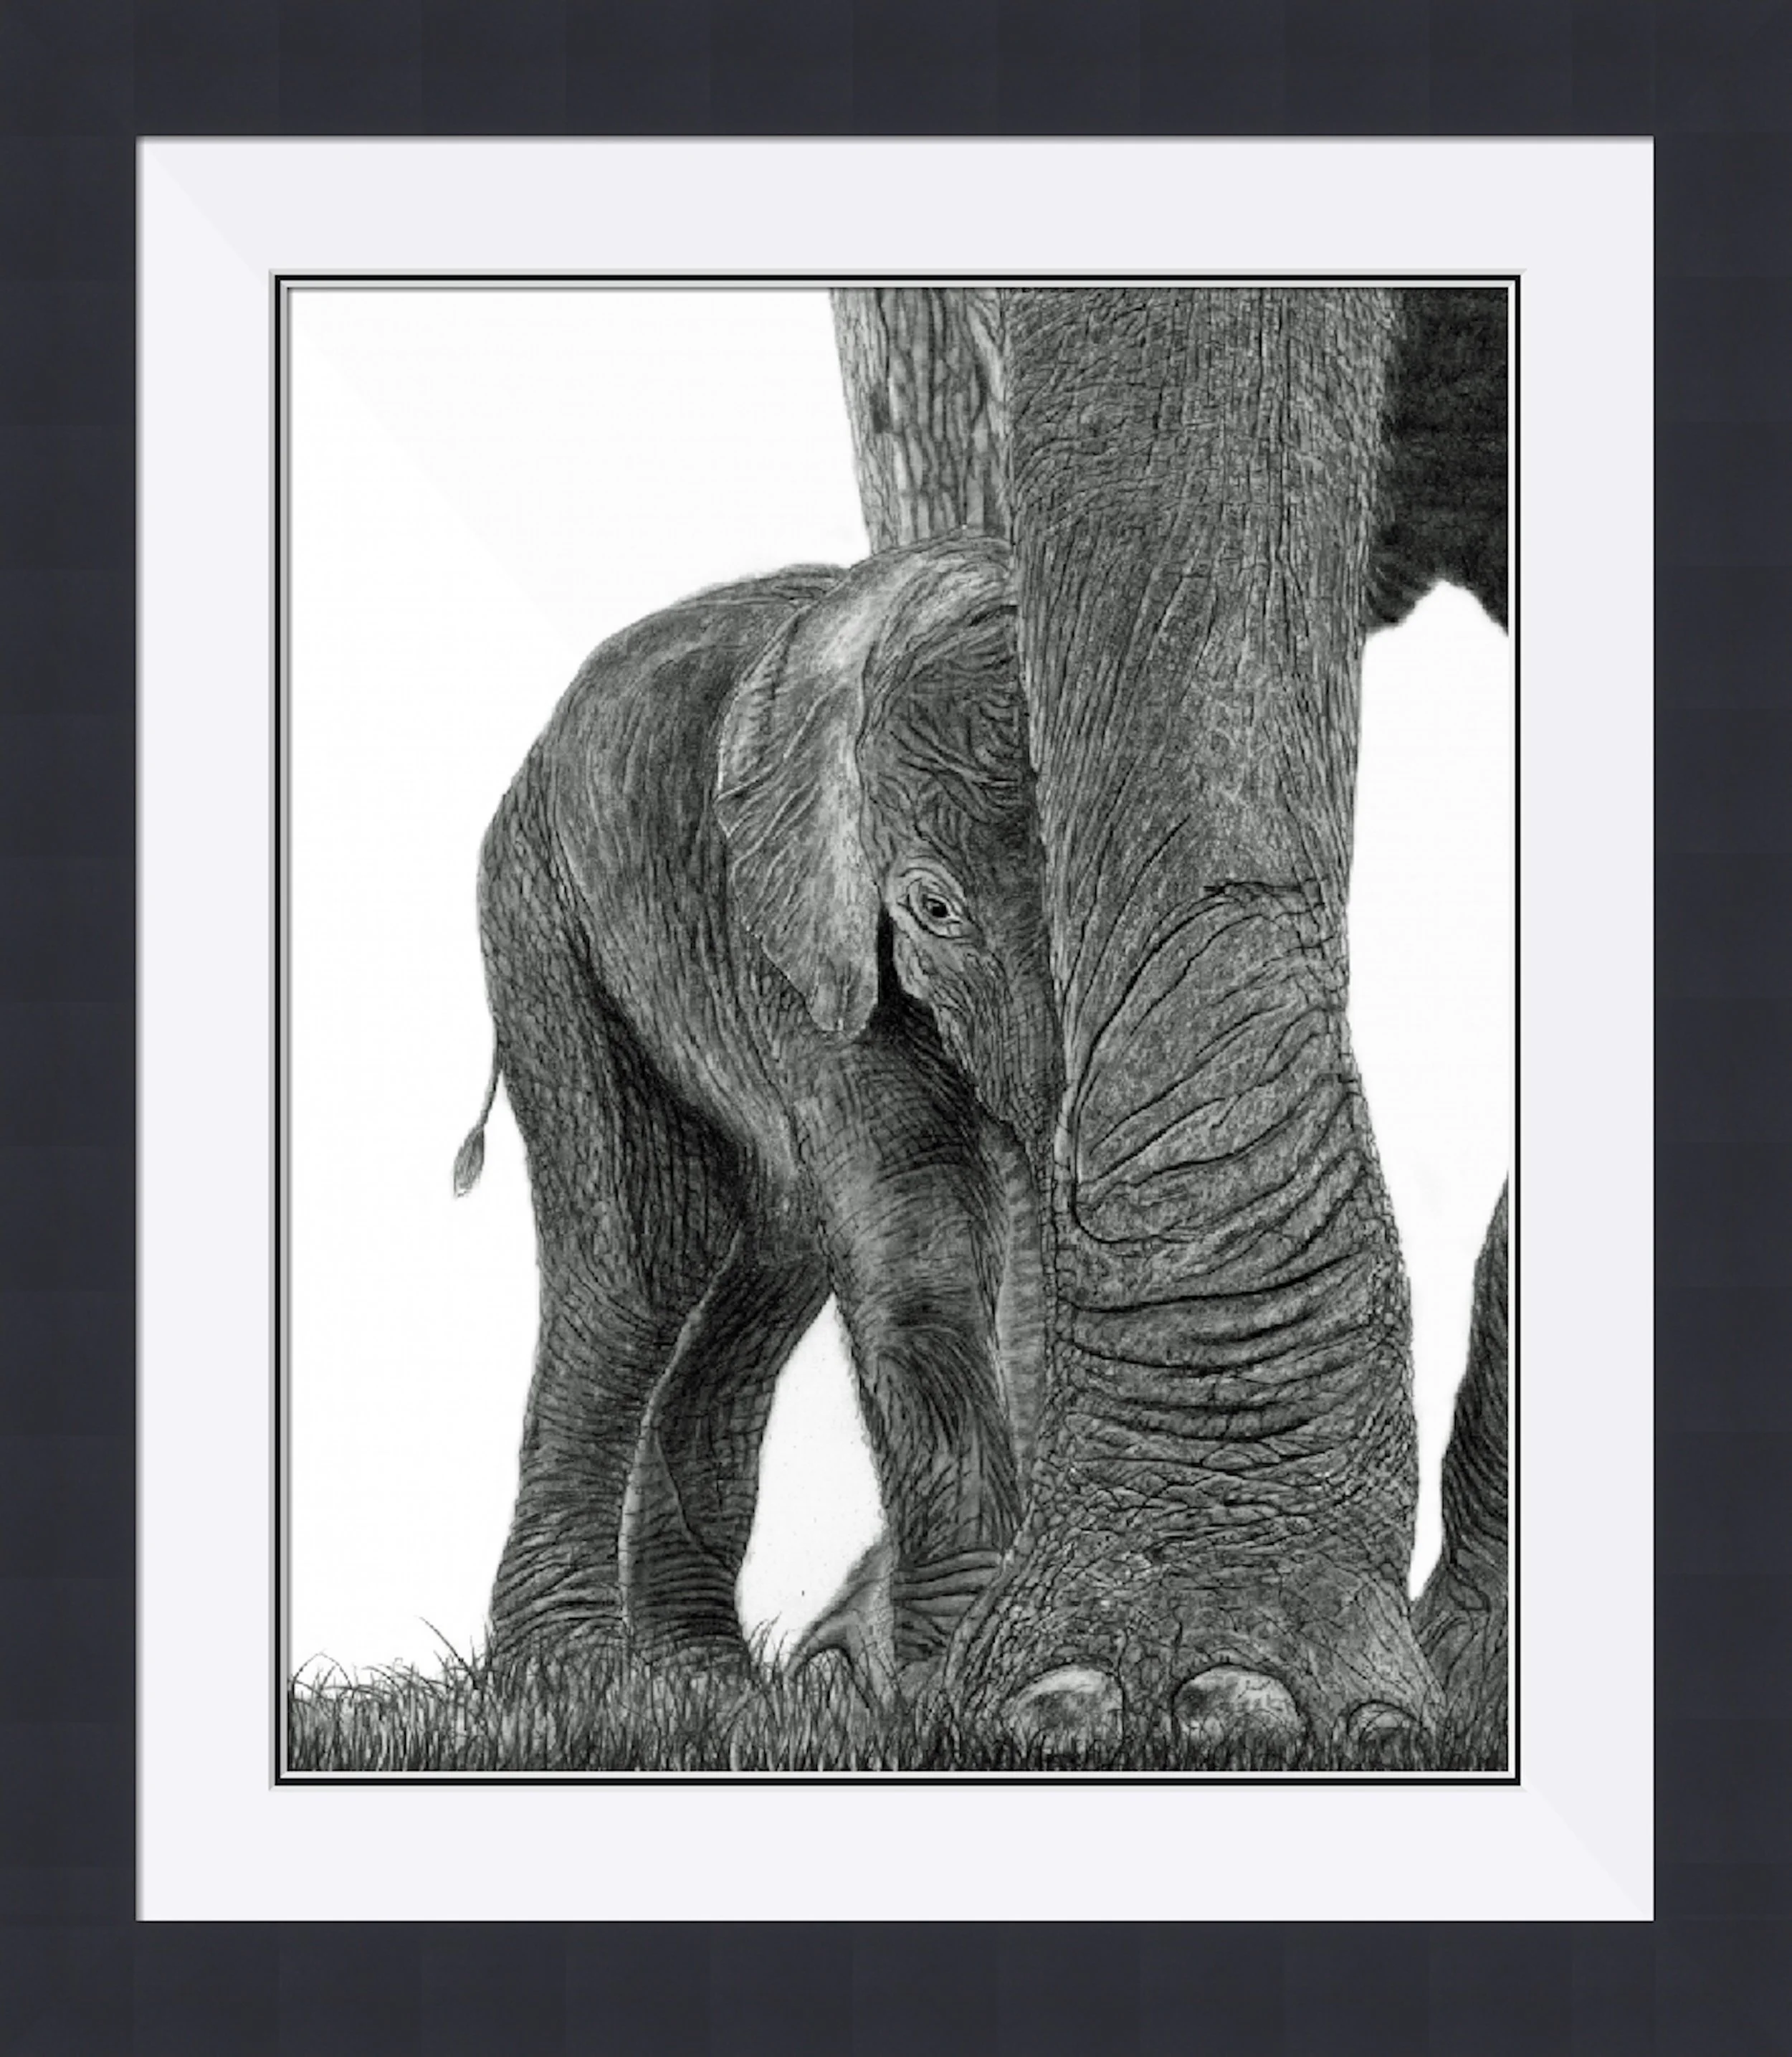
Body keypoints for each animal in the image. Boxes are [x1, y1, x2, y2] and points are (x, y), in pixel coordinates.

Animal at [455, 536, 1055, 1683]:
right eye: (932, 908)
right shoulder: (793, 929)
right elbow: (914, 1228)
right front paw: (952, 1671)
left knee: (767, 1260)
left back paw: (701, 1678)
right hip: (543, 917)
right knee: (638, 1264)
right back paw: (571, 1673)